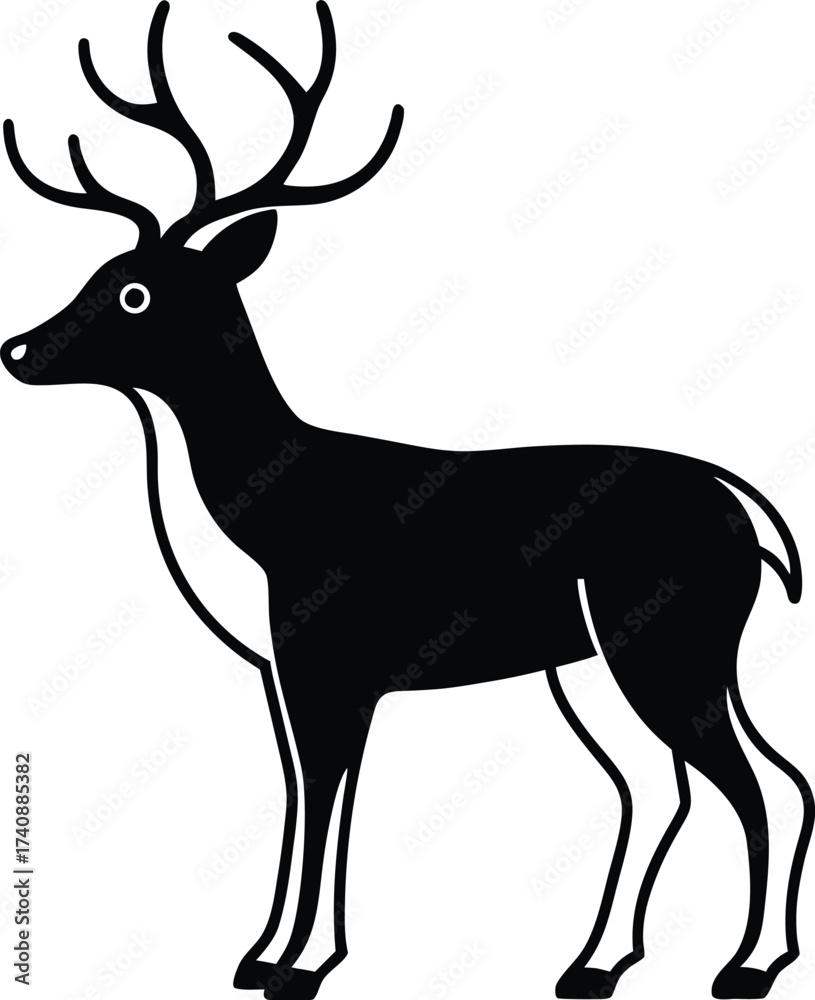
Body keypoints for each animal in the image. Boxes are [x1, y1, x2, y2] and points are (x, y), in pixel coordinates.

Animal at [1, 3, 812, 999]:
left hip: (665, 646)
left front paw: (301, 966)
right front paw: (260, 956)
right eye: (102, 270)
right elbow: (300, 798)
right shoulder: (283, 670)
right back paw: (594, 966)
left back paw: (746, 967)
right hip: (599, 663)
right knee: (673, 786)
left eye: (134, 292)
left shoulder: (332, 663)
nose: (17, 349)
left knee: (755, 782)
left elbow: (325, 802)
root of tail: (743, 507)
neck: (261, 508)